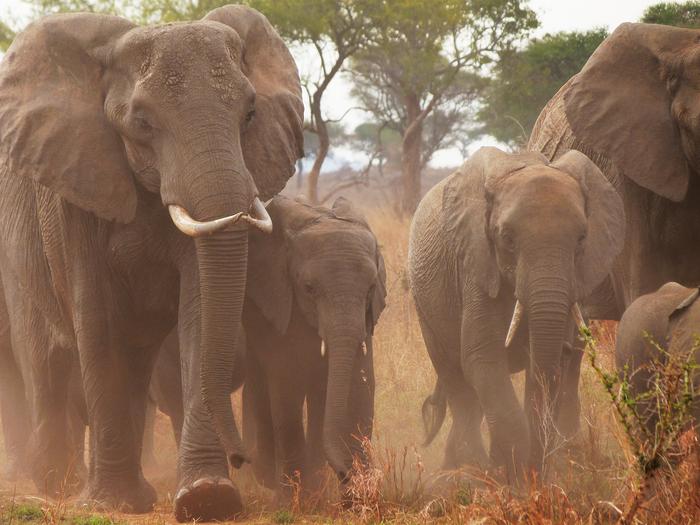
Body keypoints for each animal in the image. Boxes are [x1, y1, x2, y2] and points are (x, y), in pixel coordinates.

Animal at [0, 5, 303, 522]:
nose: (242, 457)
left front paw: (207, 497)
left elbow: (200, 311)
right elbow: (96, 320)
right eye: (141, 121)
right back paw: (55, 481)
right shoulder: (74, 191)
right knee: (42, 356)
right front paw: (108, 504)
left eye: (250, 114)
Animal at [149, 196, 387, 497]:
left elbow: (361, 387)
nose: (343, 474)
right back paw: (270, 478)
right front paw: (298, 498)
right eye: (309, 288)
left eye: (370, 289)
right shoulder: (277, 307)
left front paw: (355, 494)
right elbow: (286, 388)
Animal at [408, 147, 624, 479]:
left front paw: (531, 471)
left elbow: (540, 367)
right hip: (424, 304)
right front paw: (510, 468)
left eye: (581, 239)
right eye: (507, 238)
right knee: (456, 380)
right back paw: (467, 470)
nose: (567, 347)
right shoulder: (476, 266)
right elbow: (482, 357)